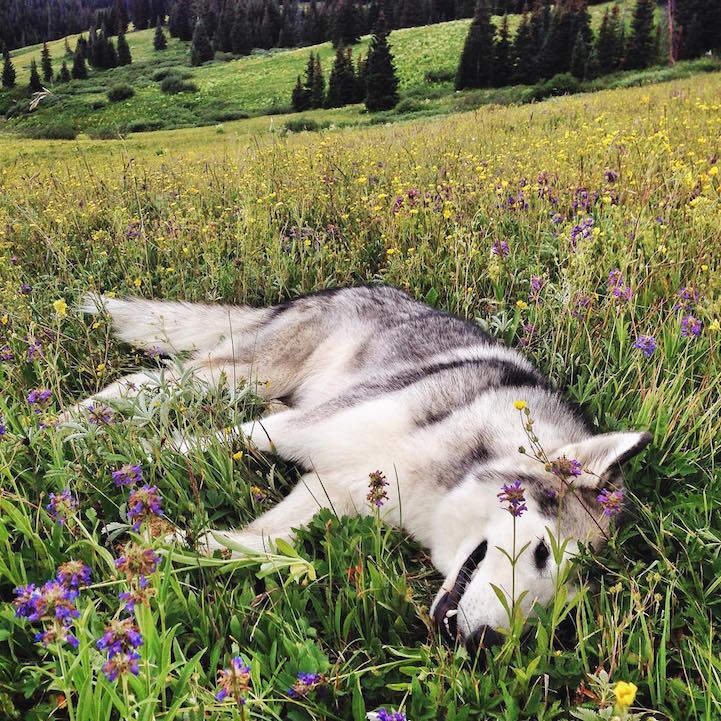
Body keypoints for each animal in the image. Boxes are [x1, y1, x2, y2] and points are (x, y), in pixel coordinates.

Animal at [76, 286, 651, 648]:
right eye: (540, 553)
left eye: (555, 611)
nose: (485, 645)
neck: (437, 486)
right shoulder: (297, 431)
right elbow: (179, 447)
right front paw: (110, 470)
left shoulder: (328, 491)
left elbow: (243, 544)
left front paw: (162, 545)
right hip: (245, 373)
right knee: (143, 383)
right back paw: (68, 424)